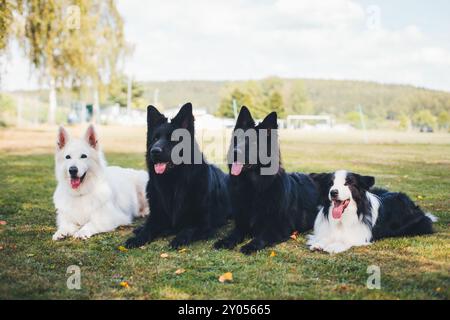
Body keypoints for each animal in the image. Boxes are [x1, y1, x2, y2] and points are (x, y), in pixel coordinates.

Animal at [125, 104, 230, 249]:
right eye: (155, 139)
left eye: (174, 139)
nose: (154, 151)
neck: (174, 181)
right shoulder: (156, 216)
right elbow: (148, 228)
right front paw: (138, 238)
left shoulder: (204, 224)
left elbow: (189, 229)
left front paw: (179, 238)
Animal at [214, 107, 320, 255]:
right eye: (238, 139)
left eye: (254, 143)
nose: (235, 152)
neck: (254, 187)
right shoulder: (241, 222)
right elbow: (235, 233)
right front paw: (226, 241)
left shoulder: (280, 227)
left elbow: (263, 236)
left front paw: (250, 245)